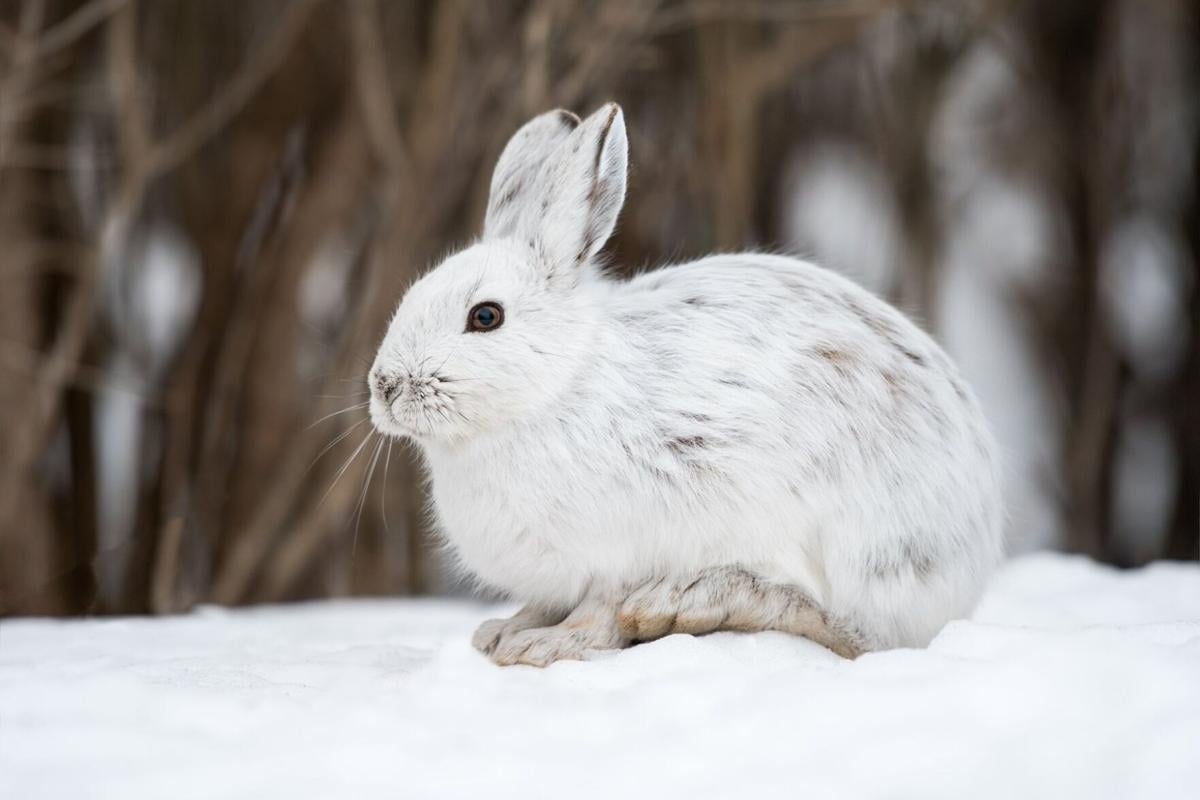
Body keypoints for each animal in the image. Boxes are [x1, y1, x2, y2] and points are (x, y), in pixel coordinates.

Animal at [367, 102, 1005, 667]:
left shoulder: (619, 555)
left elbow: (596, 614)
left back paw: (684, 606)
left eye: (485, 316)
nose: (385, 385)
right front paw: (502, 631)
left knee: (852, 633)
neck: (556, 388)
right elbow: (542, 606)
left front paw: (541, 647)